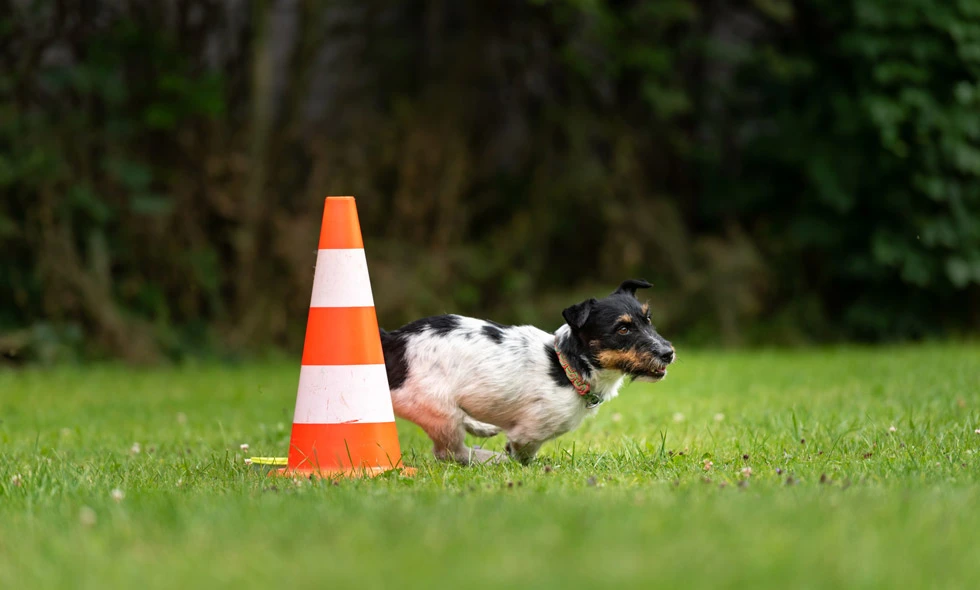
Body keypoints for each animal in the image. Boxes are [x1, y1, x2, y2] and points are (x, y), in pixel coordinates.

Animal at [378, 280, 672, 470]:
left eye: (648, 320)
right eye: (622, 329)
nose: (668, 353)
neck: (567, 366)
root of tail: (395, 341)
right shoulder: (530, 432)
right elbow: (522, 451)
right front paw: (514, 462)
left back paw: (481, 427)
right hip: (439, 412)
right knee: (449, 452)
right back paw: (489, 459)